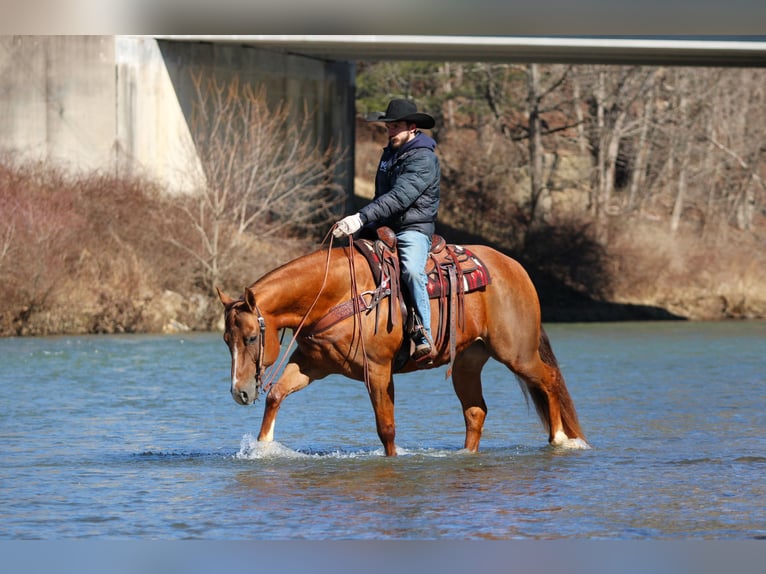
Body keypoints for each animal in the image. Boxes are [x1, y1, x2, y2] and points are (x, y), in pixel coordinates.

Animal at [217, 238, 588, 456]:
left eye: (251, 338)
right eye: (226, 340)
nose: (239, 392)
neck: (336, 293)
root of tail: (517, 269)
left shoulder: (378, 370)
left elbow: (387, 429)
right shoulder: (313, 364)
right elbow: (277, 394)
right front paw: (263, 448)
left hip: (517, 354)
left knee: (549, 379)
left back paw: (561, 439)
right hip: (468, 363)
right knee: (476, 411)